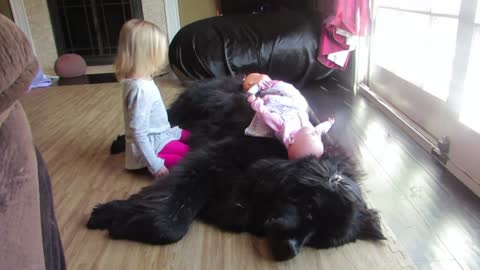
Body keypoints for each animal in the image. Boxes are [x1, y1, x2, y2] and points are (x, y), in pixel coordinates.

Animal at [87, 75, 386, 260]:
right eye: (310, 209)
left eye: (319, 240)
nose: (291, 249)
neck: (278, 159)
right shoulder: (209, 160)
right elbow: (172, 219)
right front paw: (111, 215)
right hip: (187, 108)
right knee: (162, 122)